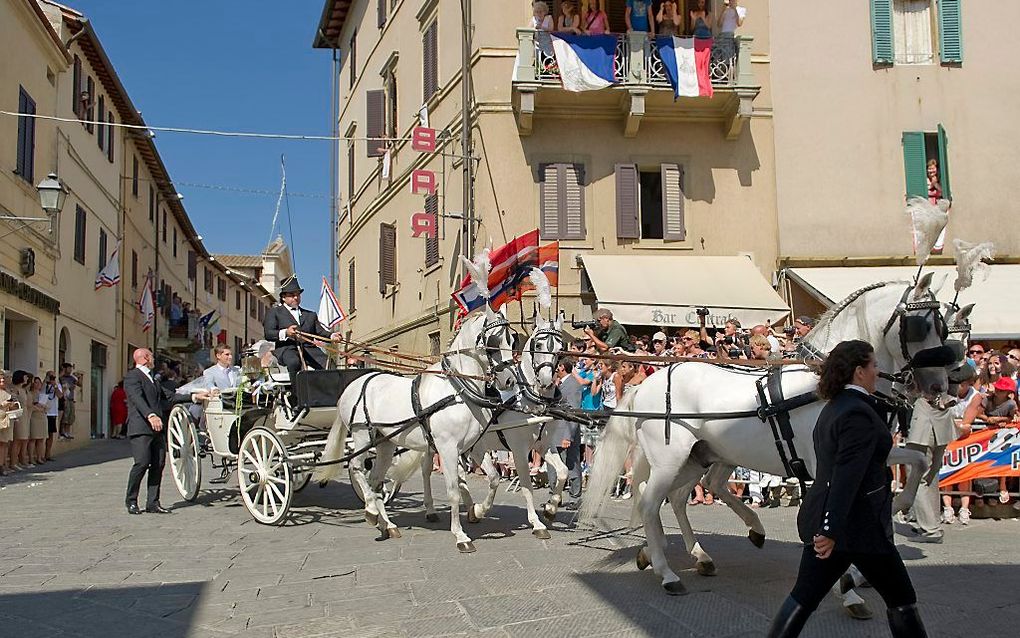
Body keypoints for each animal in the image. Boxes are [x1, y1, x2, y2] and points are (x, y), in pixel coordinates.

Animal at [310, 300, 518, 551]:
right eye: (494, 342)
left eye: (512, 339)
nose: (510, 380)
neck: (457, 388)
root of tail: (353, 385)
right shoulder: (447, 448)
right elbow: (453, 491)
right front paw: (460, 535)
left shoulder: (472, 447)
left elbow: (494, 479)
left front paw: (478, 510)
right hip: (362, 435)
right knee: (356, 468)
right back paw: (370, 510)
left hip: (385, 444)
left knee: (375, 481)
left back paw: (387, 525)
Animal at [416, 308, 571, 538]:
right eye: (538, 345)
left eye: (560, 349)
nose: (545, 381)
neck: (528, 397)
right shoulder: (516, 449)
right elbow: (524, 484)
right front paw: (535, 522)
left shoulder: (543, 445)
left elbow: (563, 472)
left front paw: (551, 508)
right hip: (434, 444)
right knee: (426, 470)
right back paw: (431, 509)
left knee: (459, 476)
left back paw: (471, 508)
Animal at [583, 271, 954, 592]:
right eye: (921, 326)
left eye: (943, 327)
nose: (940, 386)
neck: (830, 383)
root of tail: (647, 385)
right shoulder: (827, 464)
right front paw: (849, 584)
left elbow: (918, 462)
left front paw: (896, 509)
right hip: (670, 459)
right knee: (651, 501)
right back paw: (667, 572)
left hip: (699, 456)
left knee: (678, 495)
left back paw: (699, 551)